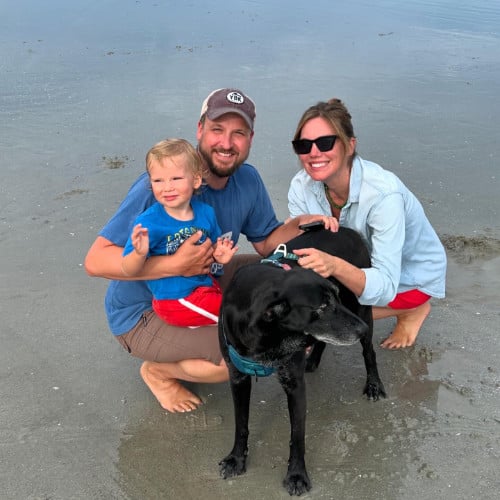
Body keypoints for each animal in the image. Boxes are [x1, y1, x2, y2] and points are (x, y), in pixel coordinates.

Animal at [217, 228, 384, 496]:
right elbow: (241, 424)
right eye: (323, 306)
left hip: (361, 307)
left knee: (369, 353)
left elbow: (297, 436)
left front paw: (296, 475)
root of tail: (347, 229)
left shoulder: (294, 385)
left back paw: (374, 384)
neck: (268, 337)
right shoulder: (238, 378)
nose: (362, 329)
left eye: (335, 299)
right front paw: (236, 459)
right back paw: (313, 359)